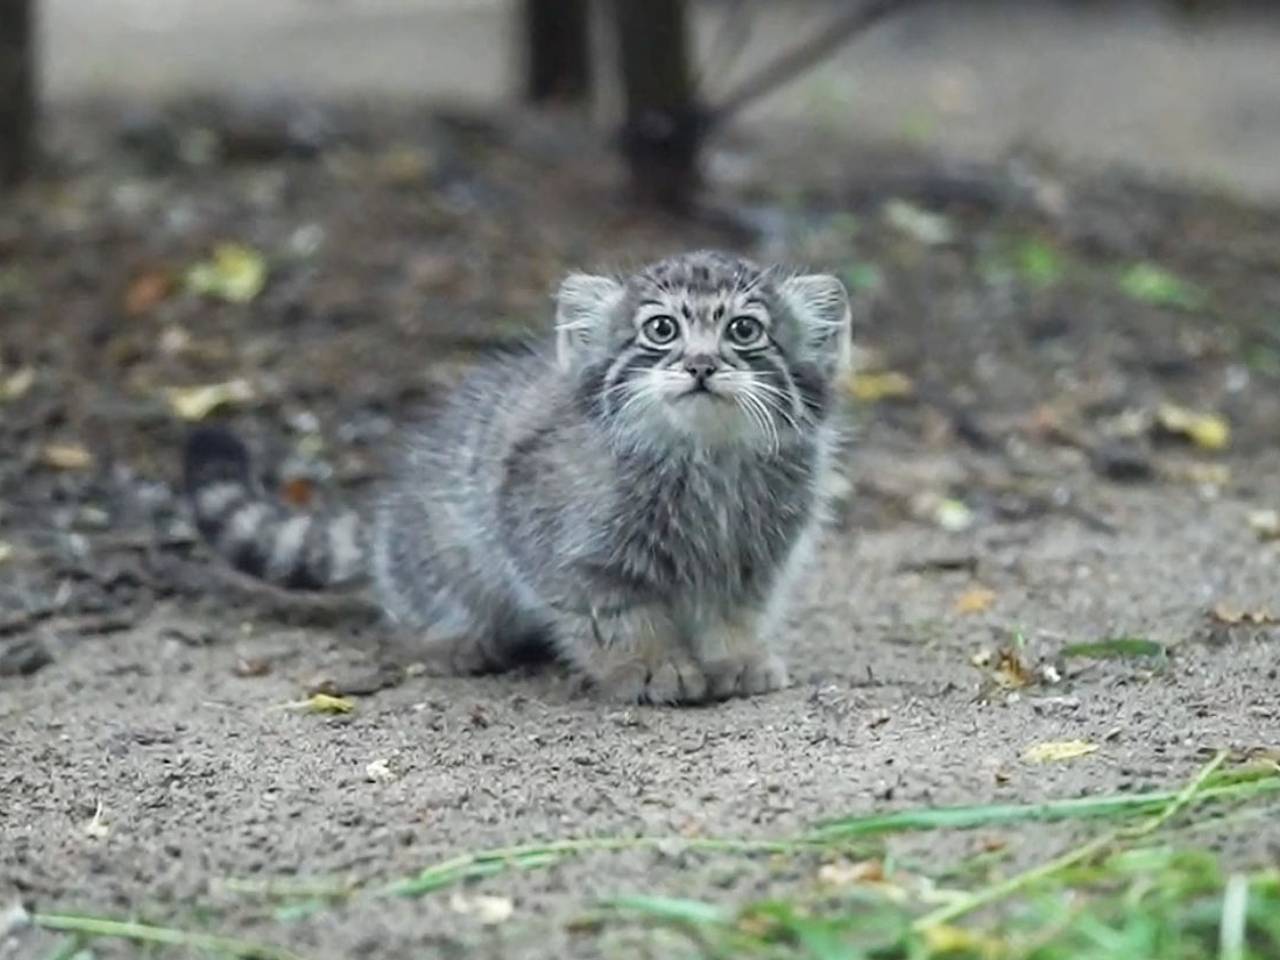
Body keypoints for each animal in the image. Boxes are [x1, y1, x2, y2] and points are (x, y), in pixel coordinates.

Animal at [185, 252, 849, 706]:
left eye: (744, 330)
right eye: (661, 330)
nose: (702, 364)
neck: (707, 458)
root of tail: (388, 511)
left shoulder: (753, 559)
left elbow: (733, 612)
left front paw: (736, 657)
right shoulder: (569, 554)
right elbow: (618, 620)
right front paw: (649, 664)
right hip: (444, 548)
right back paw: (451, 639)